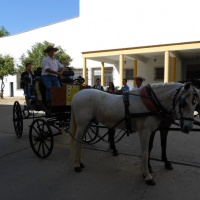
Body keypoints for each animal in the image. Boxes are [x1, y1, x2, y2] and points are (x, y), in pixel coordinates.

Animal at [69, 82, 198, 185]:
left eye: (195, 103)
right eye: (183, 103)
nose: (188, 127)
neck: (150, 102)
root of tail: (76, 95)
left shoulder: (152, 131)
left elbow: (150, 149)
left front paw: (145, 171)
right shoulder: (145, 131)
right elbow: (145, 152)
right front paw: (147, 175)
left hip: (87, 124)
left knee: (80, 142)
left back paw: (80, 162)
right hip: (82, 124)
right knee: (76, 142)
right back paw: (76, 165)